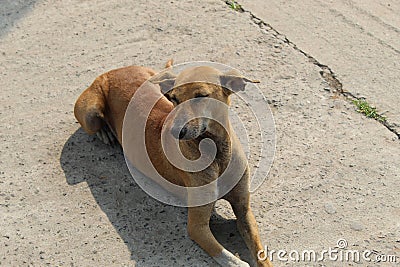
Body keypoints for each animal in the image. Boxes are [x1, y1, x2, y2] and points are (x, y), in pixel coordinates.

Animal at [73, 60, 274, 267]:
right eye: (176, 98)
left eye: (201, 95)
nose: (176, 131)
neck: (216, 154)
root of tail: (117, 70)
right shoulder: (197, 227)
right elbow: (231, 260)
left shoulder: (244, 210)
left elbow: (261, 253)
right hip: (90, 114)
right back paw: (105, 131)